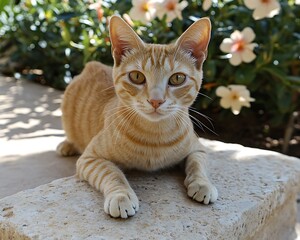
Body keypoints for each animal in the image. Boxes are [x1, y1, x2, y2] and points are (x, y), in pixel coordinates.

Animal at [56, 14, 218, 218]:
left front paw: (203, 184)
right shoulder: (90, 159)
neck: (155, 138)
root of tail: (92, 64)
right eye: (137, 77)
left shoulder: (198, 149)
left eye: (177, 78)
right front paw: (121, 196)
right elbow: (112, 173)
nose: (156, 100)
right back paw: (67, 145)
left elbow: (197, 165)